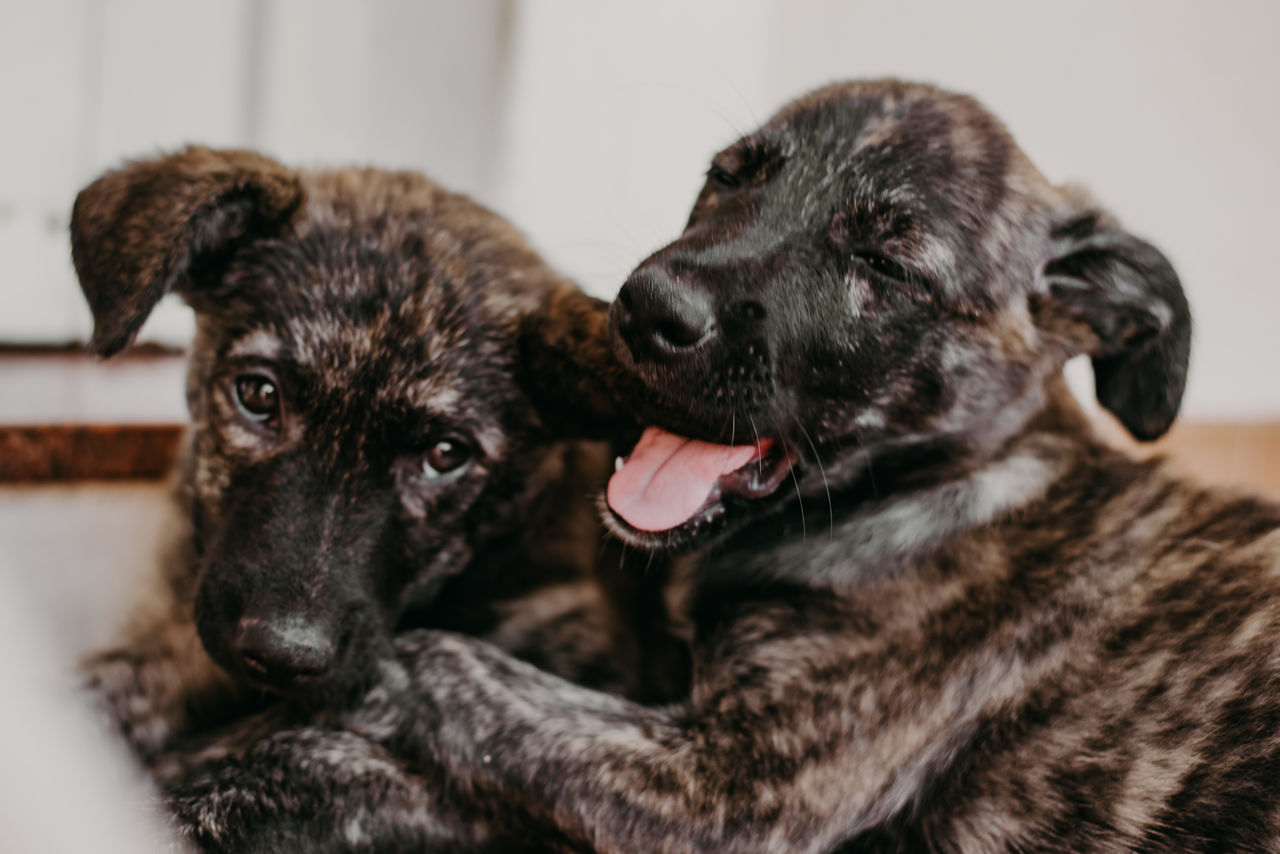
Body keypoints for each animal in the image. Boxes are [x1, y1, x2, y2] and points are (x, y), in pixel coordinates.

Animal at [162, 81, 1280, 854]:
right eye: (730, 174)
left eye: (884, 262)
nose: (638, 308)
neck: (925, 491)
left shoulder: (731, 786)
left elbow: (437, 666)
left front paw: (231, 760)